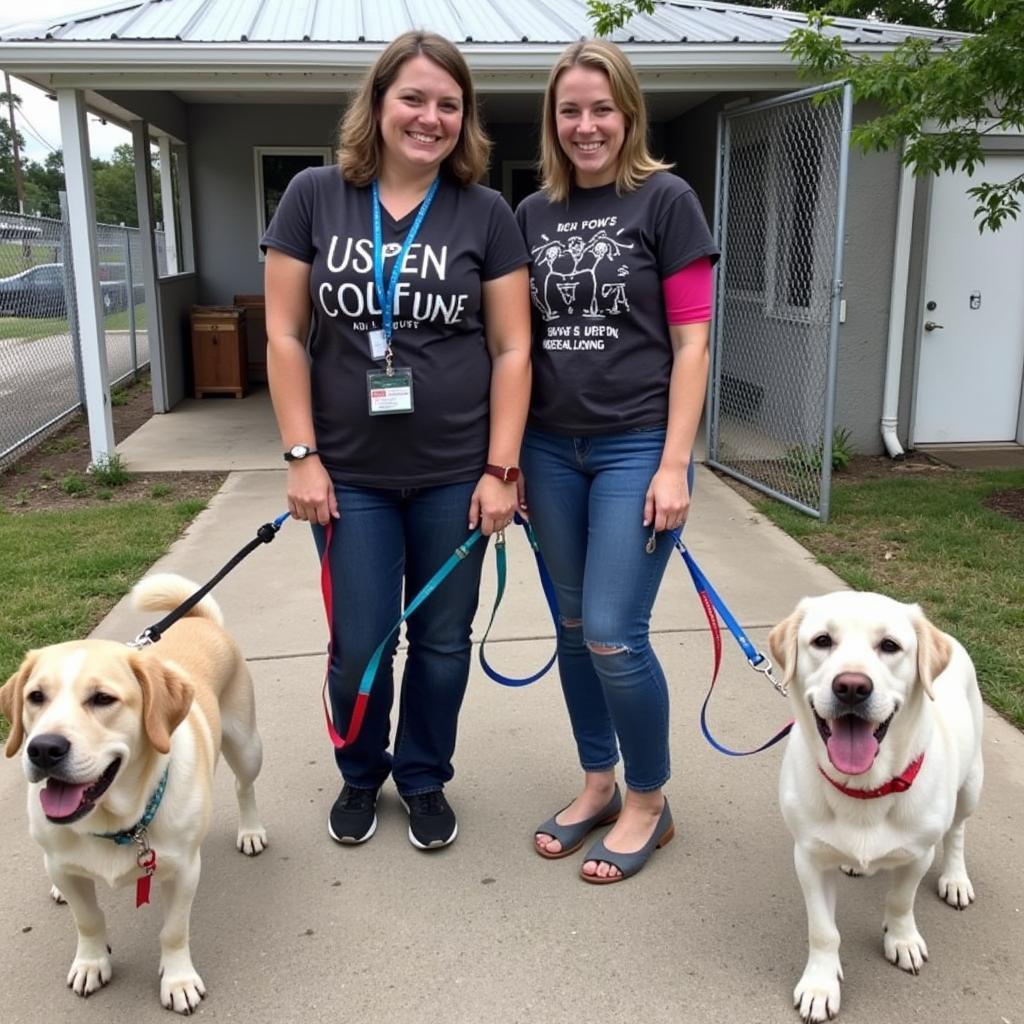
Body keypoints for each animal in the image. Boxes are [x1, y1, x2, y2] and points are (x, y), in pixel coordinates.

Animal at [0, 573, 268, 1011]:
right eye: (35, 697)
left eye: (102, 699)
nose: (43, 749)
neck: (117, 819)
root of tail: (197, 618)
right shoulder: (66, 867)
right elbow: (88, 920)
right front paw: (91, 962)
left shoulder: (184, 871)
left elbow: (173, 931)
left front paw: (178, 980)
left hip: (246, 746)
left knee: (244, 787)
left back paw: (251, 832)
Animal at [770, 593, 983, 1024]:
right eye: (822, 641)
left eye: (889, 646)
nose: (852, 687)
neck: (864, 792)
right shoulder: (809, 858)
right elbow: (823, 930)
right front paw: (820, 985)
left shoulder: (918, 854)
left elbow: (901, 901)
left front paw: (902, 940)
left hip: (971, 785)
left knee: (957, 832)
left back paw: (955, 878)